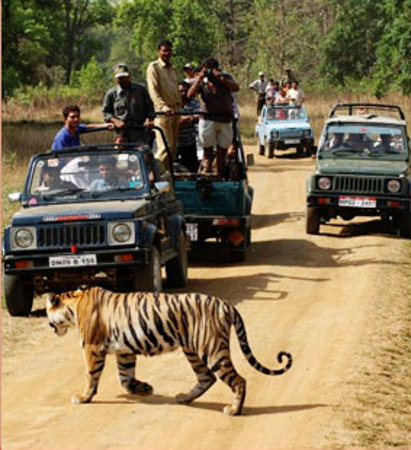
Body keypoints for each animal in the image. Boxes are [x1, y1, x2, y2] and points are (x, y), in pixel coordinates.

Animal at [45, 286, 292, 416]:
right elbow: (125, 377)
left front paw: (83, 397)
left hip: (212, 350)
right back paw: (184, 398)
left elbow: (91, 375)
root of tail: (226, 304)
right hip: (192, 350)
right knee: (206, 378)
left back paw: (233, 410)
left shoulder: (92, 347)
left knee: (238, 380)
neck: (73, 305)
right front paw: (143, 388)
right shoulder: (124, 350)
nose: (50, 327)